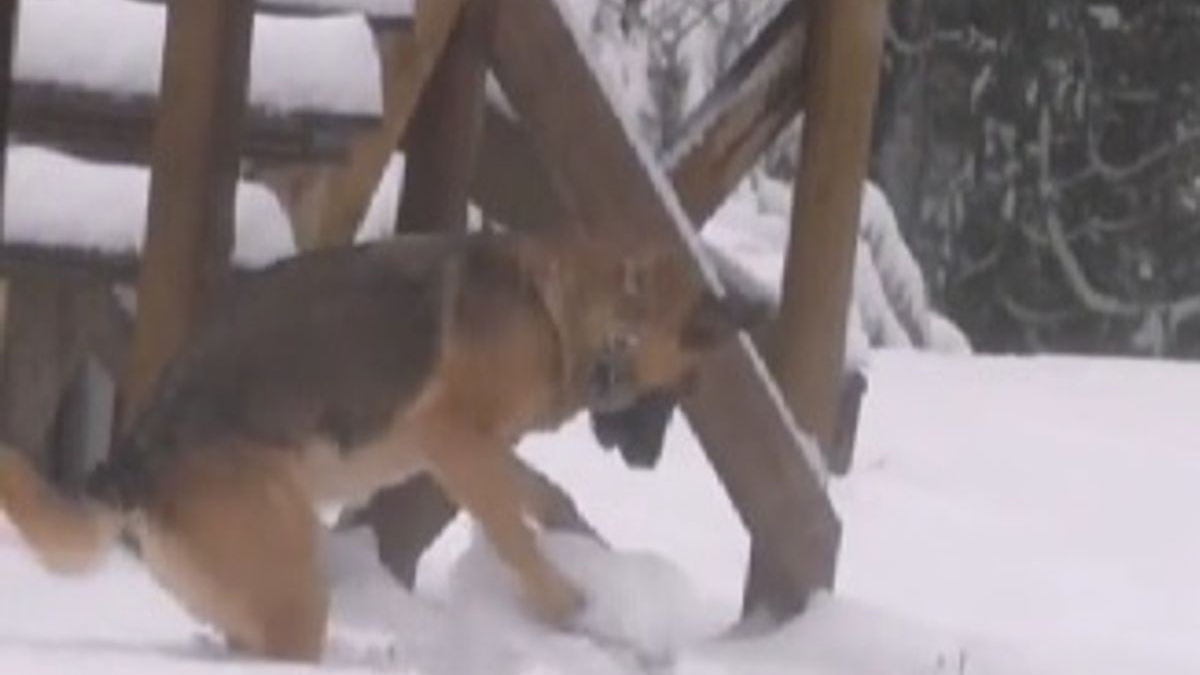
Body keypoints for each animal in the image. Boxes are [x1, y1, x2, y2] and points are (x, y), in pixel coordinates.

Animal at [0, 230, 753, 658]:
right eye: (685, 388)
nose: (648, 462)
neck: (567, 310)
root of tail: (137, 459)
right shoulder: (451, 441)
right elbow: (514, 533)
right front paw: (569, 607)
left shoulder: (480, 448)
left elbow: (547, 494)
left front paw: (591, 550)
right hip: (294, 586)